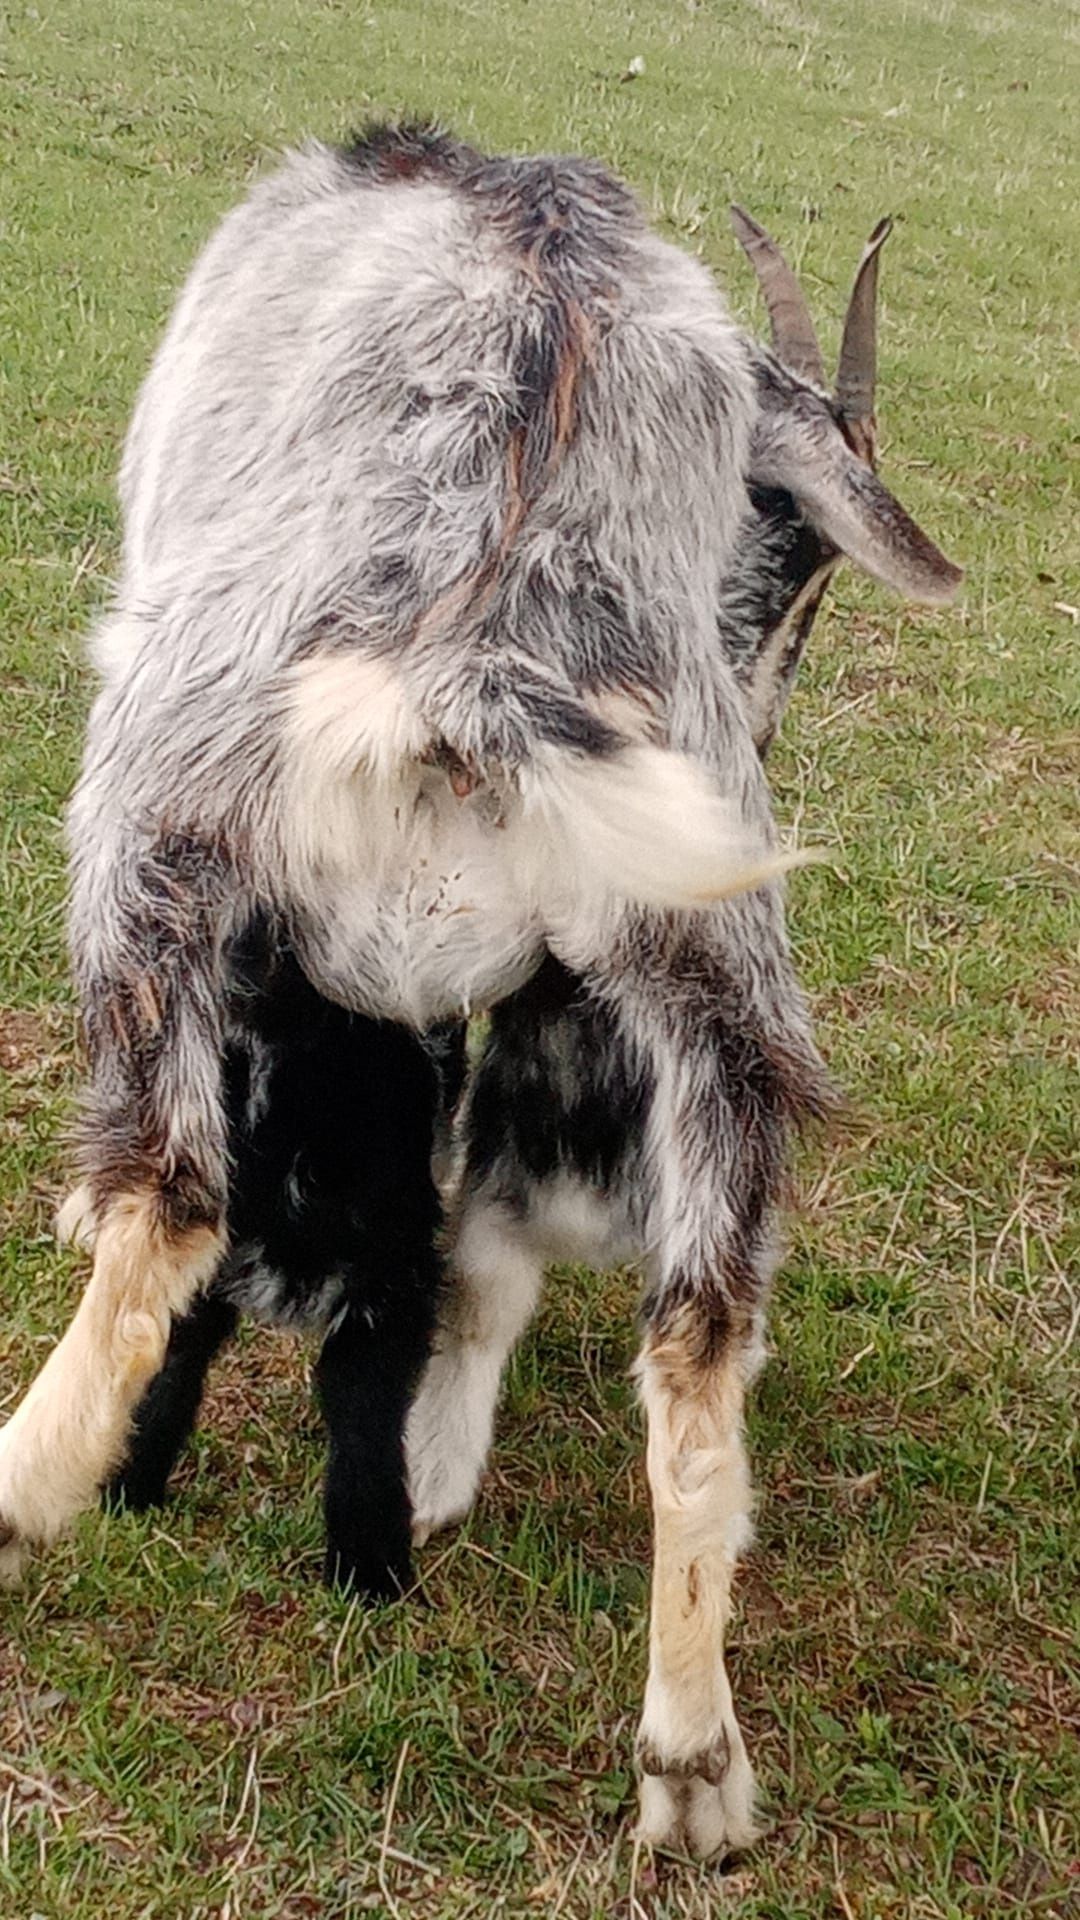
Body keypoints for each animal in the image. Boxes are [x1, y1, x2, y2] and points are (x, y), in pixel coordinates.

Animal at [0, 123, 957, 1858]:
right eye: (793, 575)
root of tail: (491, 638)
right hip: (720, 971)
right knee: (700, 1333)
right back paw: (691, 1761)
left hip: (150, 816)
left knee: (172, 1199)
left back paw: (24, 1490)